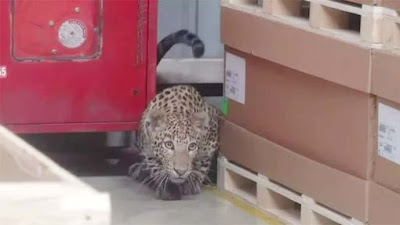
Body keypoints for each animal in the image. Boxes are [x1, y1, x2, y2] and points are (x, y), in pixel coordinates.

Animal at [129, 29, 220, 200]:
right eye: (169, 145)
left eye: (192, 146)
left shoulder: (212, 138)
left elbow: (203, 163)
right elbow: (154, 164)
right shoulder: (146, 143)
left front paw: (192, 182)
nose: (181, 171)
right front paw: (167, 186)